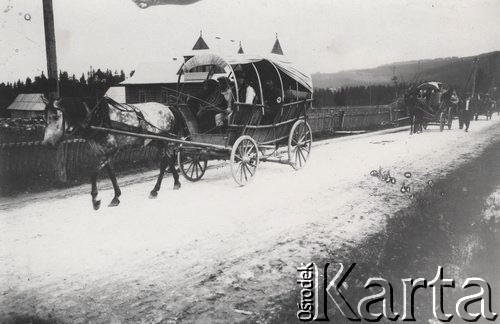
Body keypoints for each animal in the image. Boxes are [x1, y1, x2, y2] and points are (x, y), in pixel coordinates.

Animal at [43, 96, 183, 210]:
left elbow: (93, 173)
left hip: (163, 141)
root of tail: (167, 108)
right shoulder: (102, 152)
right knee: (168, 160)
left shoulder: (110, 151)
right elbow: (111, 174)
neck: (99, 118)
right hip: (156, 142)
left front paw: (95, 200)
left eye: (56, 116)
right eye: (44, 118)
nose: (46, 143)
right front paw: (116, 196)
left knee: (164, 163)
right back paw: (176, 181)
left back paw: (155, 190)